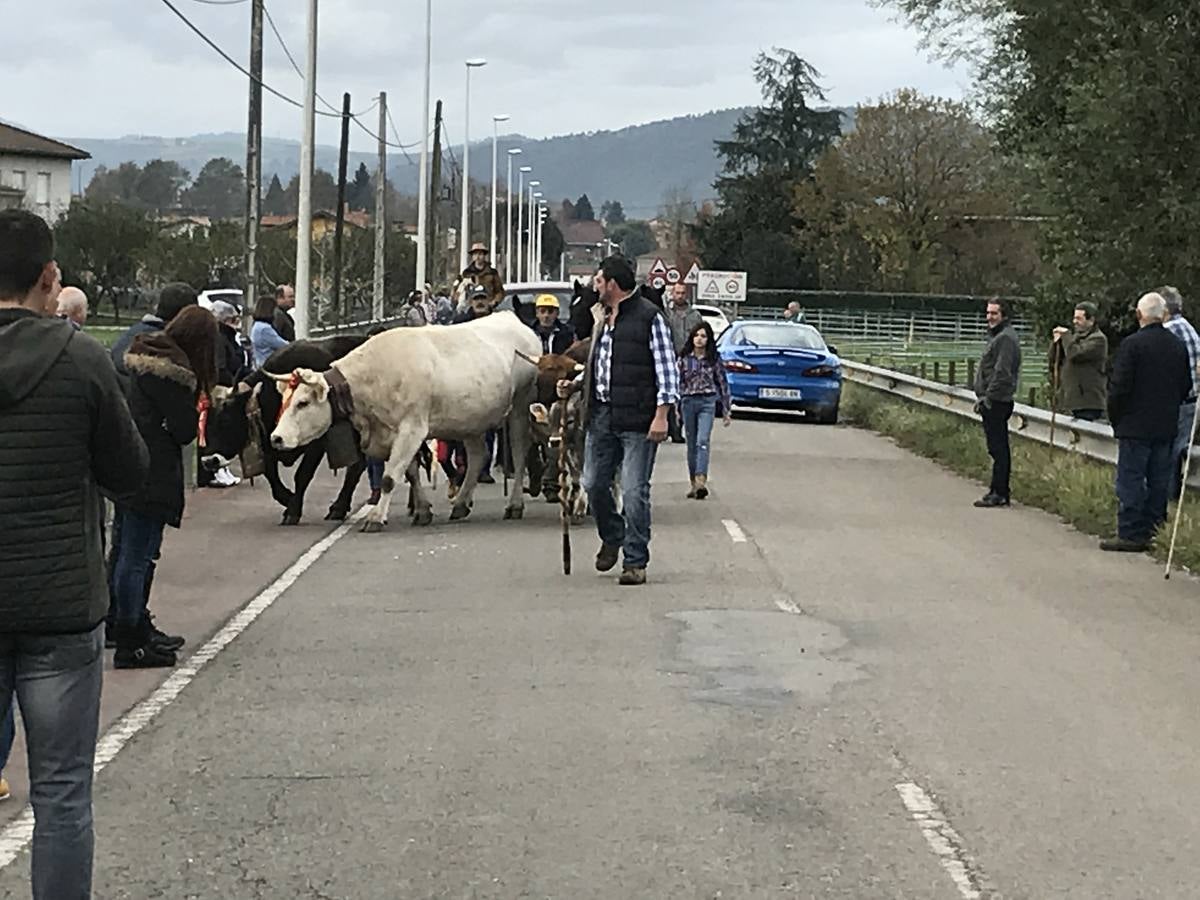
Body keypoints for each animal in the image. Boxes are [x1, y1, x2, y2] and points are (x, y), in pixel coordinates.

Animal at [270, 314, 542, 532]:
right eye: (283, 401)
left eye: (303, 403)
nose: (276, 438)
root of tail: (513, 319)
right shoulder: (397, 433)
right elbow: (410, 473)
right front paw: (422, 511)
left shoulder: (412, 428)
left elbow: (390, 477)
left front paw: (376, 518)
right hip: (470, 419)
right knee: (478, 456)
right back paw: (461, 504)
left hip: (520, 407)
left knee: (519, 453)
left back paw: (515, 505)